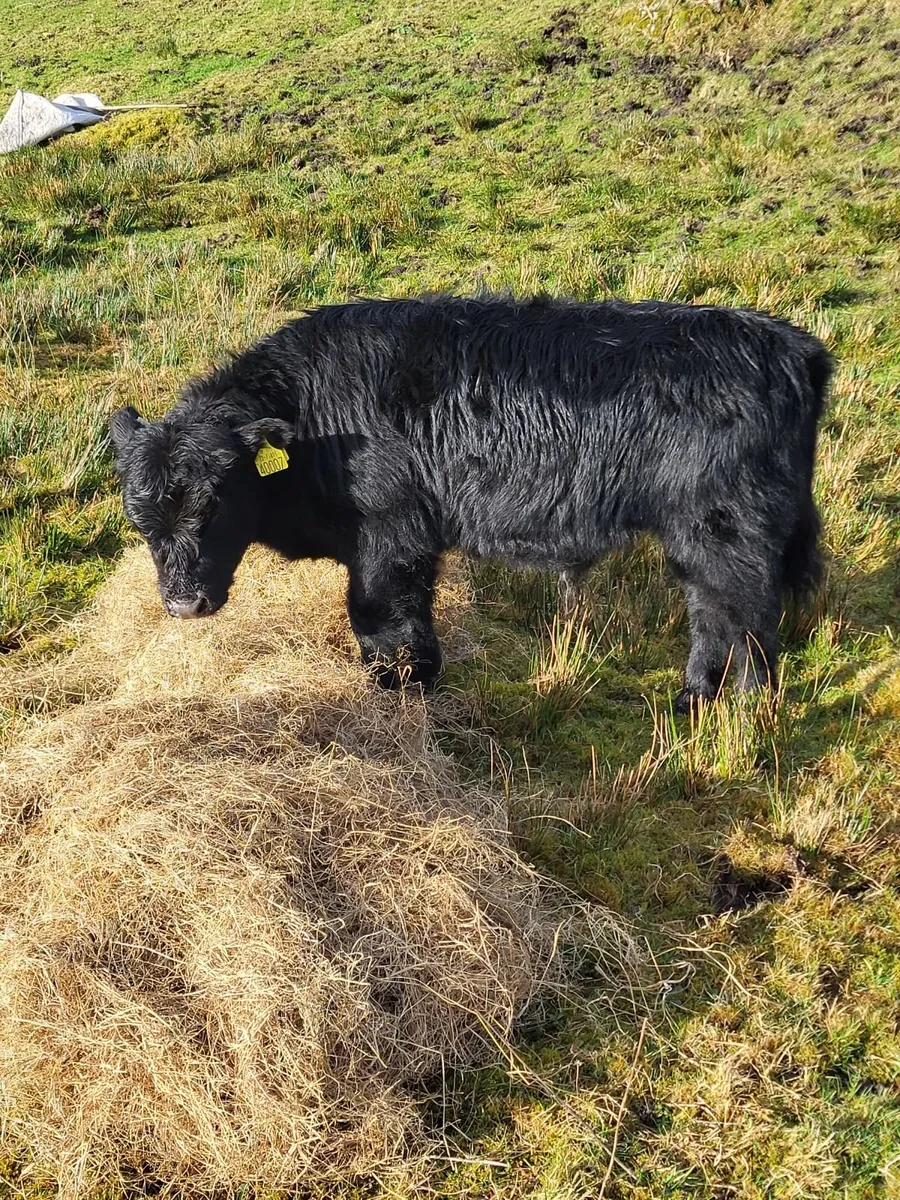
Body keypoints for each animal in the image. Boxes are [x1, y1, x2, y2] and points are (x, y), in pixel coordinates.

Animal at [109, 294, 830, 711]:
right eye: (140, 519)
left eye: (215, 501)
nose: (183, 605)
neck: (315, 418)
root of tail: (793, 346)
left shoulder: (389, 537)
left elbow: (380, 617)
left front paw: (399, 688)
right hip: (701, 536)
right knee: (712, 612)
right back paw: (694, 698)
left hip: (727, 530)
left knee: (746, 619)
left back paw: (743, 709)